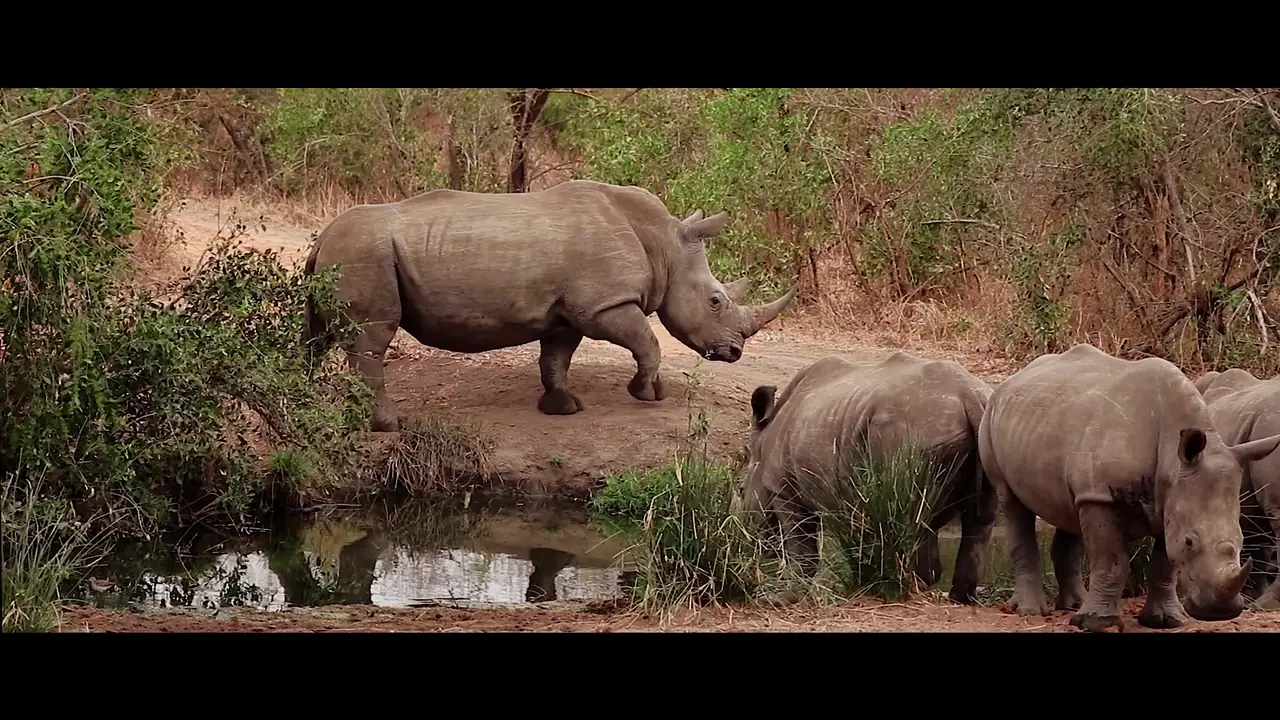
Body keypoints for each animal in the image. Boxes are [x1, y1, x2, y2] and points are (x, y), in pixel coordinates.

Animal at [301, 179, 797, 431]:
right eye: (715, 301)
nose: (735, 352)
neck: (665, 245)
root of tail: (323, 236)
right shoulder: (604, 305)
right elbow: (647, 342)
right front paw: (645, 394)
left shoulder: (569, 312)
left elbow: (556, 357)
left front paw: (563, 408)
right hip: (365, 254)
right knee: (372, 338)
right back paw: (387, 425)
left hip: (341, 257)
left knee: (318, 338)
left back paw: (311, 404)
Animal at [734, 351, 997, 605]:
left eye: (741, 491)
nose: (743, 542)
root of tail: (969, 396)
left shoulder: (784, 489)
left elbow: (801, 545)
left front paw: (782, 599)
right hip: (978, 426)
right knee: (975, 519)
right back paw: (959, 599)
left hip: (913, 430)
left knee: (913, 516)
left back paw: (904, 588)